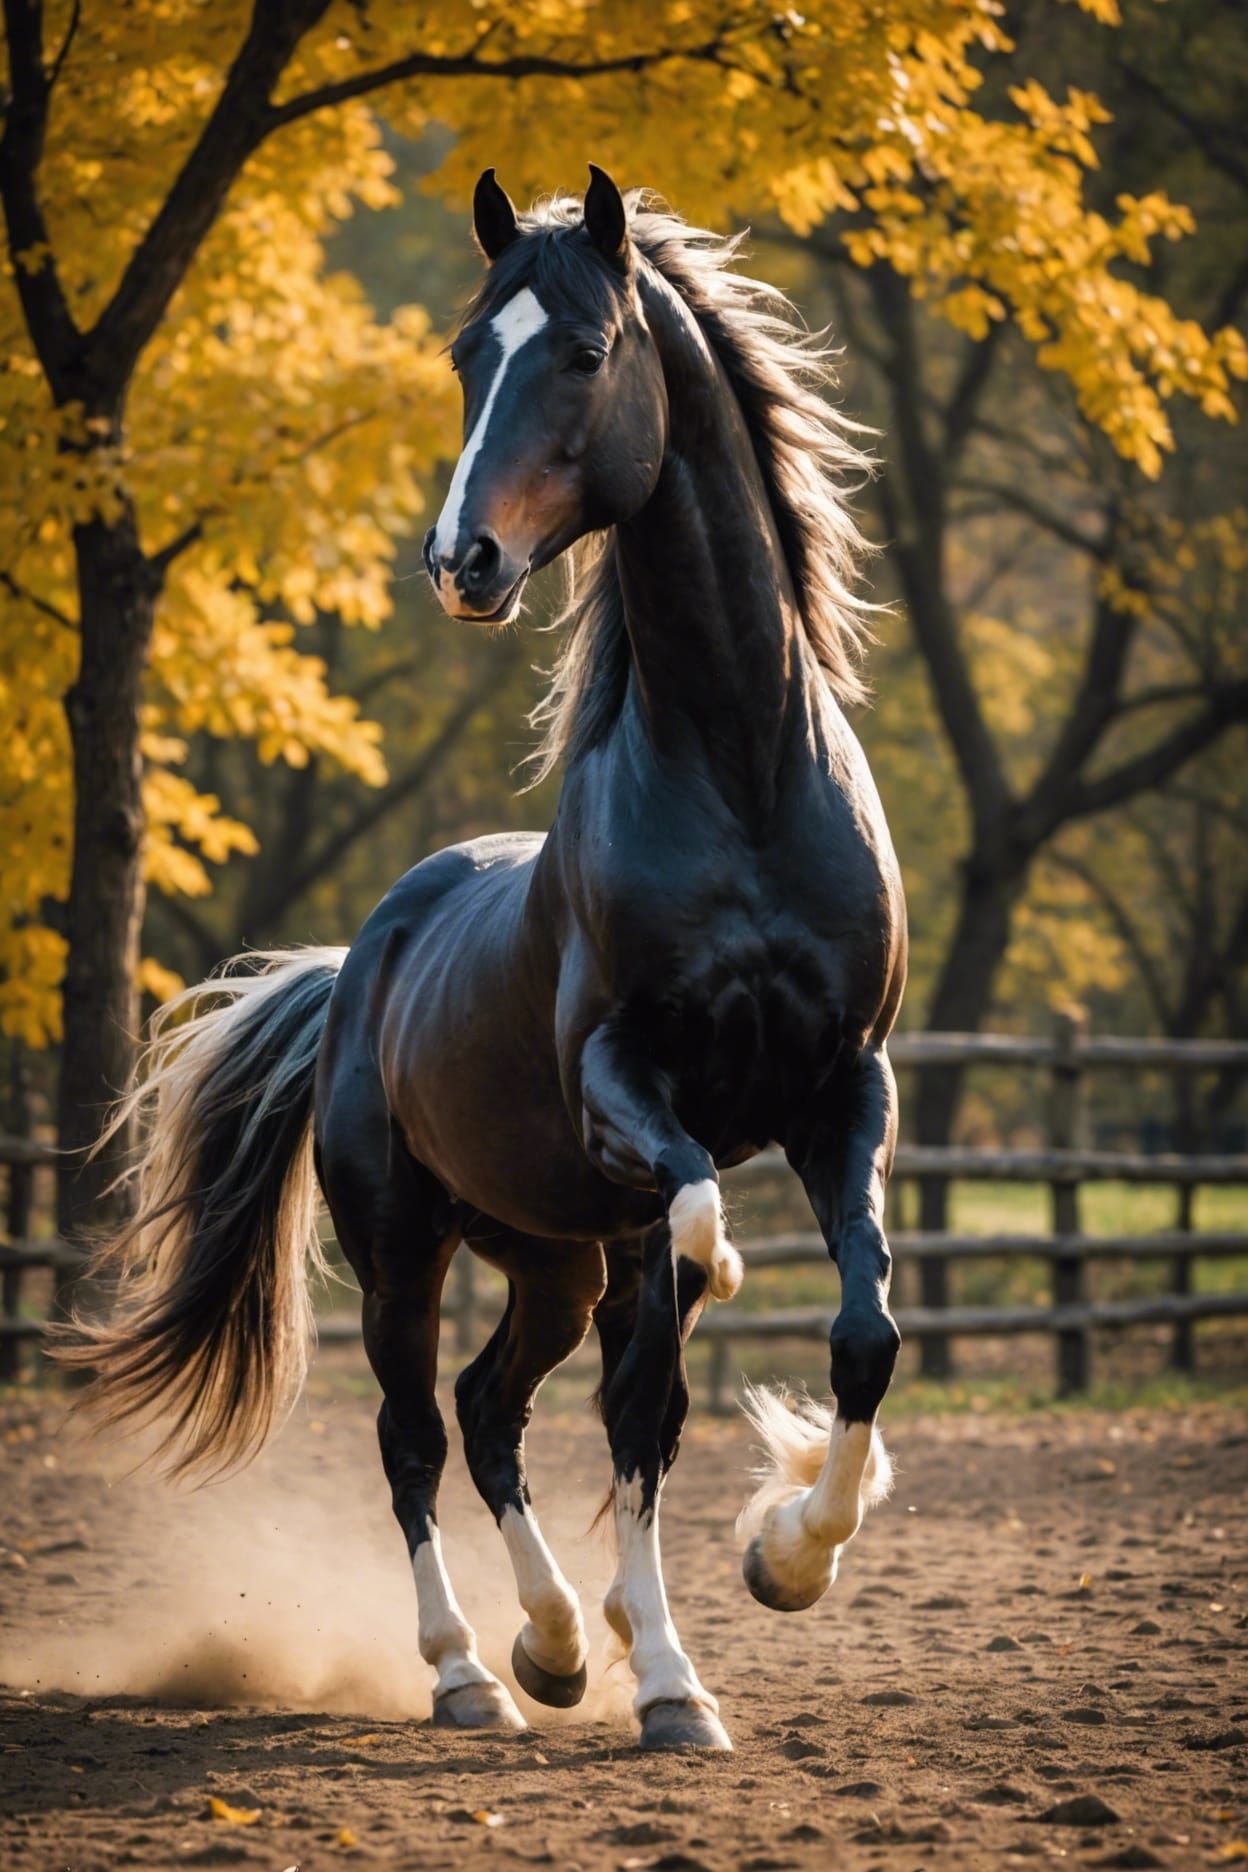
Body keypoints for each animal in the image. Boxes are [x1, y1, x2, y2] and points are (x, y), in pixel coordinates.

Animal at [59, 166, 907, 1754]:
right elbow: (691, 1265)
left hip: (548, 1255)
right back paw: (474, 1668)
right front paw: (672, 1664)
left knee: (495, 1403)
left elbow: (858, 1335)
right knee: (414, 1428)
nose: (464, 562)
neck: (745, 784)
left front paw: (781, 1564)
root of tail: (361, 961)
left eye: (583, 352)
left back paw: (565, 1644)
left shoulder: (849, 1090)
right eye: (465, 354)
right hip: (407, 1245)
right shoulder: (625, 1095)